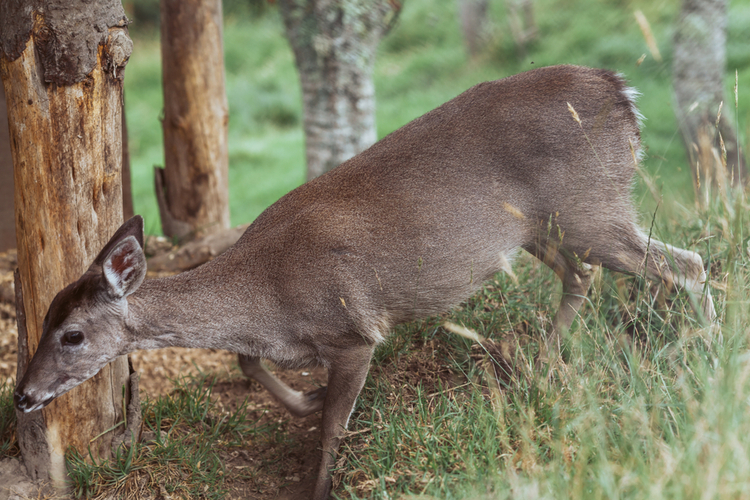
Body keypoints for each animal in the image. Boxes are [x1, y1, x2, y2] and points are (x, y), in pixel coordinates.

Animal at [14, 65, 715, 499]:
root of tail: (623, 92)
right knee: (584, 275)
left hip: (591, 208)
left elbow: (332, 428)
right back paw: (535, 364)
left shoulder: (353, 328)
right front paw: (303, 399)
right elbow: (246, 361)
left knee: (684, 264)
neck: (265, 293)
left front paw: (319, 476)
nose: (21, 396)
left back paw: (702, 352)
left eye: (72, 335)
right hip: (545, 227)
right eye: (43, 315)